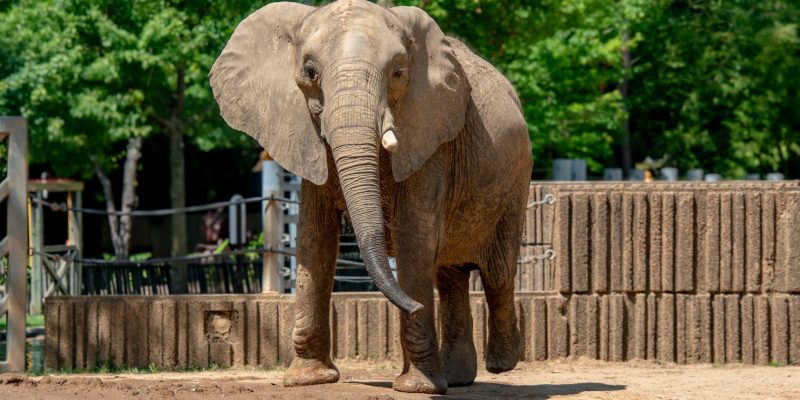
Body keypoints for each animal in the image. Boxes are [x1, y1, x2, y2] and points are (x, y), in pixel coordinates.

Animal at [209, 0, 532, 394]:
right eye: (310, 72)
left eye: (397, 73)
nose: (414, 306)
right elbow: (315, 238)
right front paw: (308, 380)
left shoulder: (429, 135)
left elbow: (414, 237)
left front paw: (418, 388)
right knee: (450, 274)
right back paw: (457, 379)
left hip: (517, 176)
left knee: (497, 271)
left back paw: (503, 362)